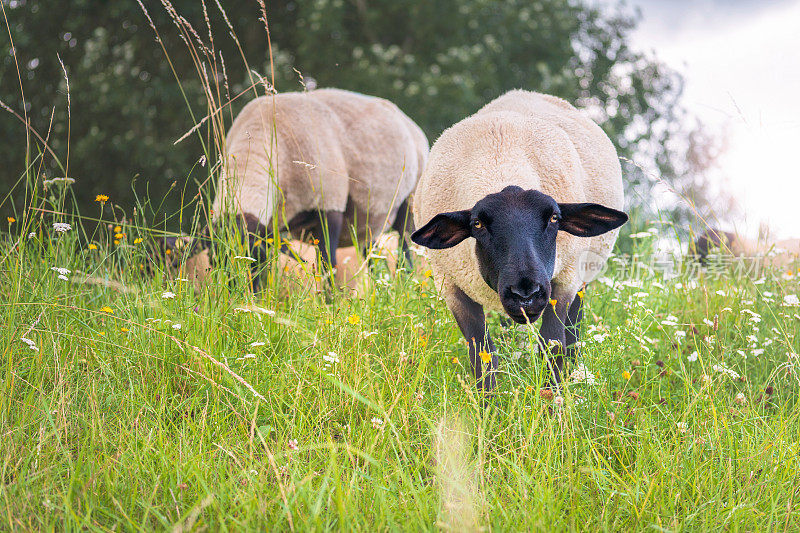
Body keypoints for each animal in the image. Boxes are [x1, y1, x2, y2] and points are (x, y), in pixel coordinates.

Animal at [209, 89, 428, 270]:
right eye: (214, 263)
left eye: (256, 260)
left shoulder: (329, 203)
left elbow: (327, 265)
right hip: (367, 225)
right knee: (374, 259)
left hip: (409, 203)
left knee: (405, 254)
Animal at [410, 90, 628, 390]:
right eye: (477, 224)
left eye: (555, 218)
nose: (526, 294)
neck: (498, 158)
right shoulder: (452, 287)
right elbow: (482, 354)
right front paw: (487, 402)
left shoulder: (563, 282)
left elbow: (553, 345)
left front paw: (551, 398)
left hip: (579, 276)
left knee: (572, 331)